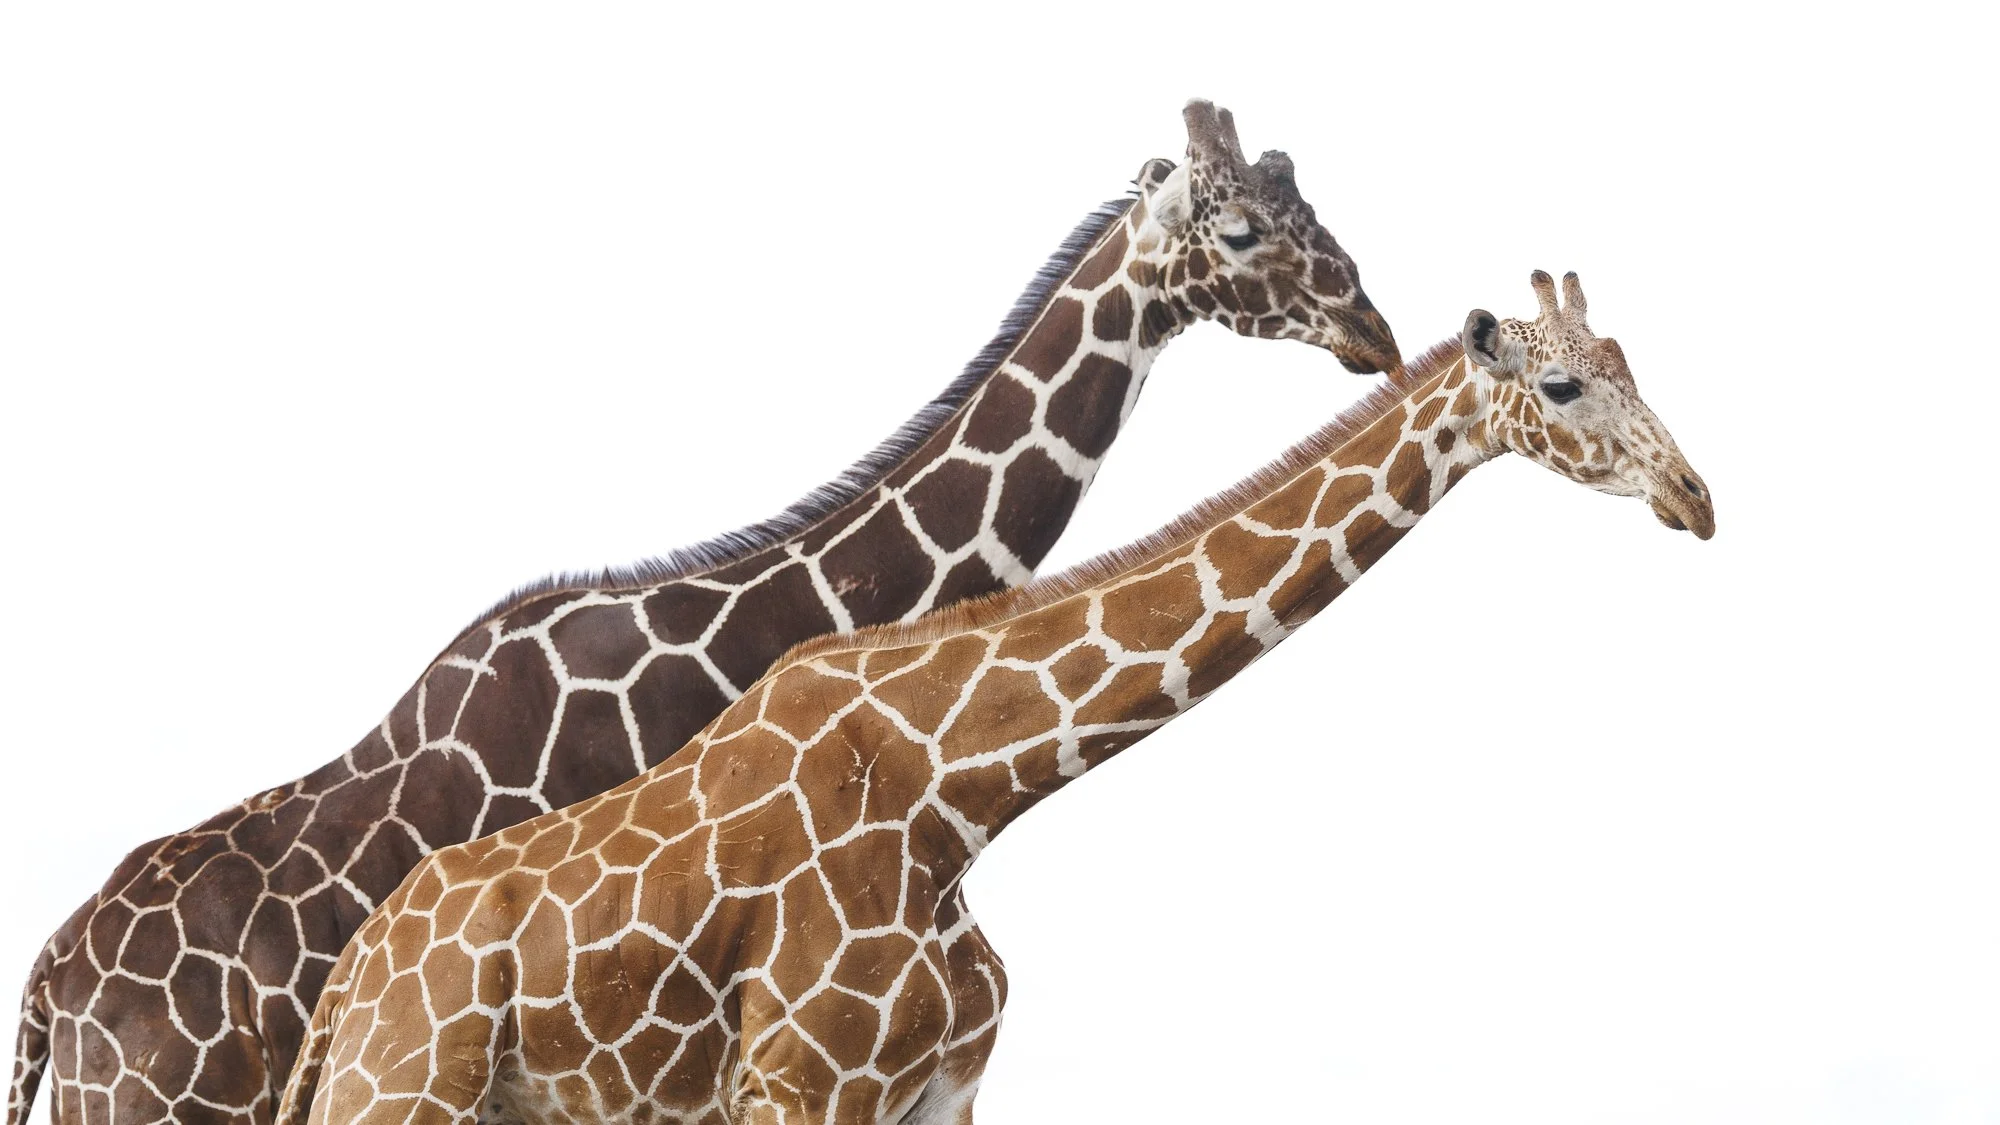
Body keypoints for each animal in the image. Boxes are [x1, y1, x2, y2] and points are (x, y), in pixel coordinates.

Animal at [272, 272, 1712, 1125]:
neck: (962, 789)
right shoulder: (797, 1087)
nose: (1695, 497)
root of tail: (345, 997)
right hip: (401, 1099)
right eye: (1561, 383)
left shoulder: (942, 1090)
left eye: (1631, 358)